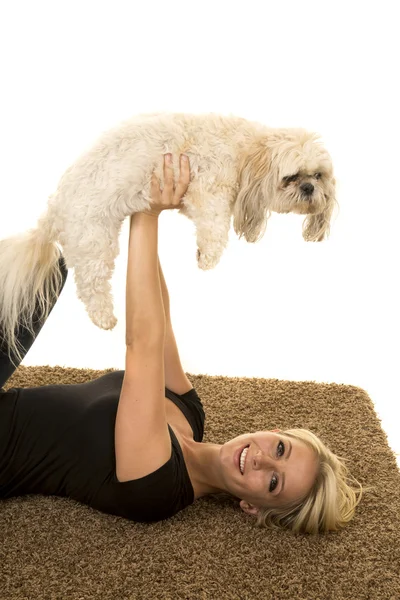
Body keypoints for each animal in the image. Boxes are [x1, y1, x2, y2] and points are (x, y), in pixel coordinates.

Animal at [0, 113, 336, 366]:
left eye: (318, 176)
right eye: (291, 177)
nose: (309, 188)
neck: (246, 151)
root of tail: (54, 209)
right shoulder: (209, 190)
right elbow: (214, 227)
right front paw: (207, 258)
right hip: (94, 238)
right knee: (91, 285)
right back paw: (104, 318)